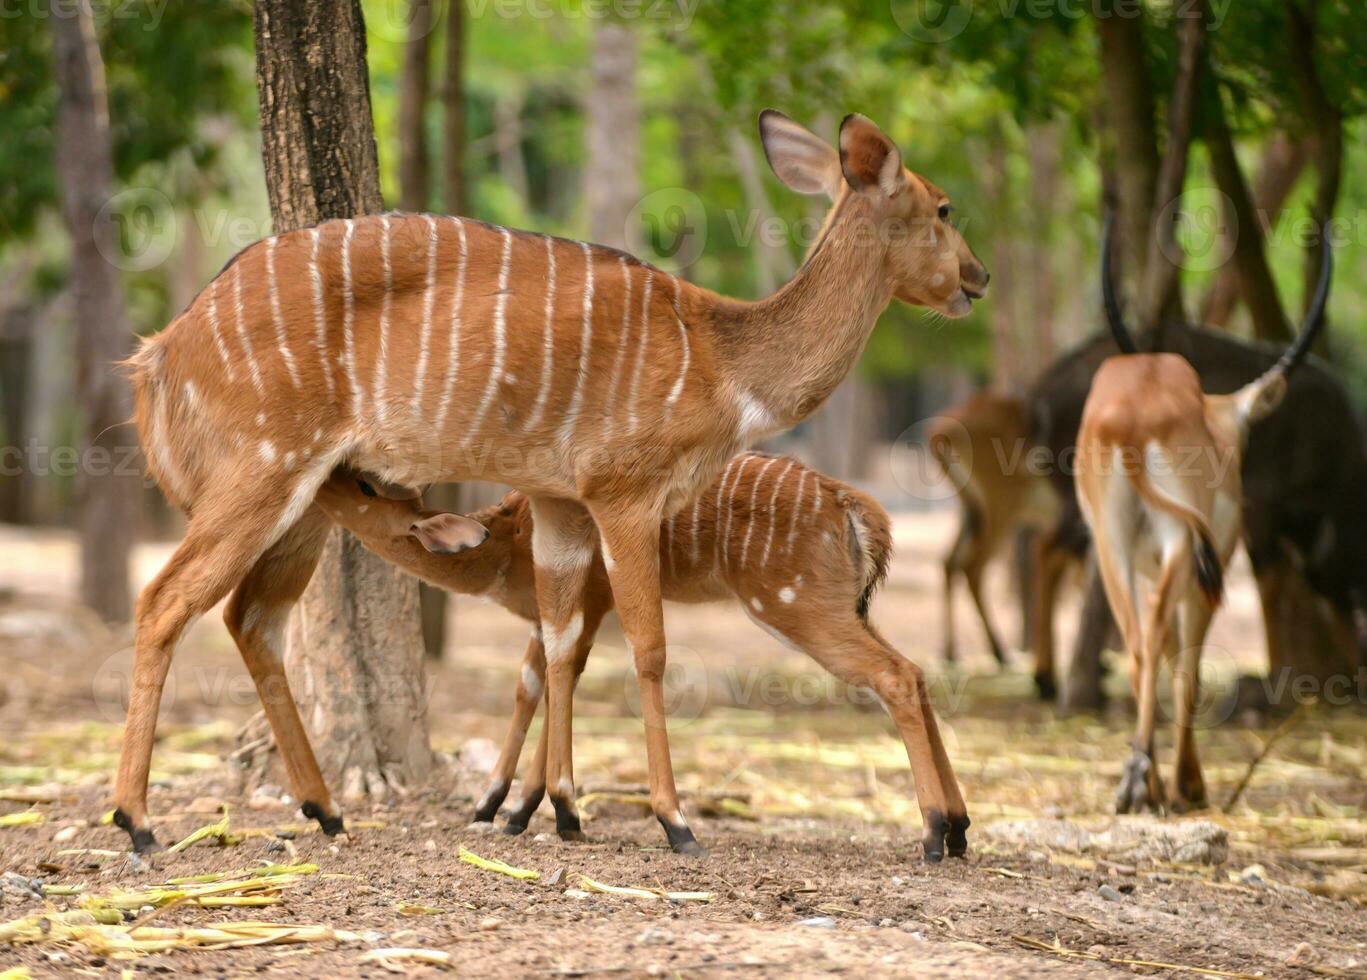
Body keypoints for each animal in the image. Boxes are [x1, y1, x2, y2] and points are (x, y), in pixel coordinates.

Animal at [311, 453, 973, 858]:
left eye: (365, 486)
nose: (324, 473)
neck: (505, 544)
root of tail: (858, 509)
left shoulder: (586, 598)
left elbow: (554, 677)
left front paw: (532, 810)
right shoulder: (563, 612)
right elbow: (535, 681)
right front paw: (507, 807)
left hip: (794, 606)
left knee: (893, 676)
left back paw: (932, 834)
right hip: (844, 607)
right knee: (917, 671)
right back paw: (960, 829)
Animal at [929, 390, 1066, 680]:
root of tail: (941, 430)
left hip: (971, 511)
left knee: (949, 562)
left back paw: (951, 653)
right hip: (1001, 512)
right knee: (971, 566)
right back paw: (1001, 654)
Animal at [1077, 221, 1323, 809]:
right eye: (1243, 436)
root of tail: (1131, 417)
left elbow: (1163, 651)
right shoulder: (1210, 566)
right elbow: (1185, 661)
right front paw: (1191, 783)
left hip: (1114, 547)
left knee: (1139, 641)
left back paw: (1139, 780)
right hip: (1184, 548)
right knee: (1163, 642)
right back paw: (1151, 781)